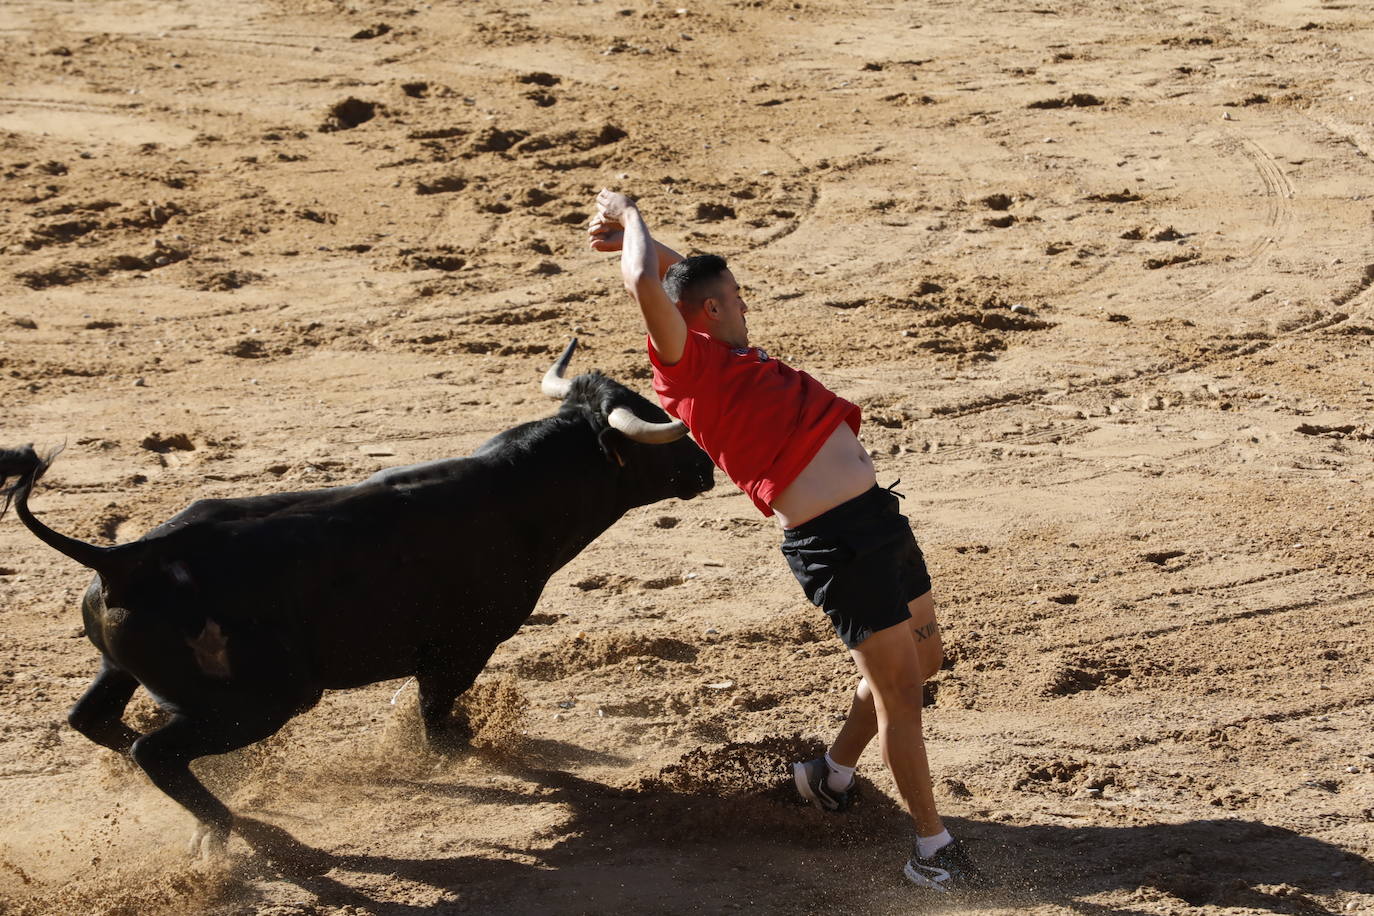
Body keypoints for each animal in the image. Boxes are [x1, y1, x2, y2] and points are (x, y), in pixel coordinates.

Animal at [5, 341, 719, 851]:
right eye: (654, 434)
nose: (705, 466)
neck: (515, 495)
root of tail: (121, 557)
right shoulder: (460, 647)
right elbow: (439, 724)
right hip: (268, 699)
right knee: (156, 752)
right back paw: (244, 832)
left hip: (123, 671)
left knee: (98, 723)